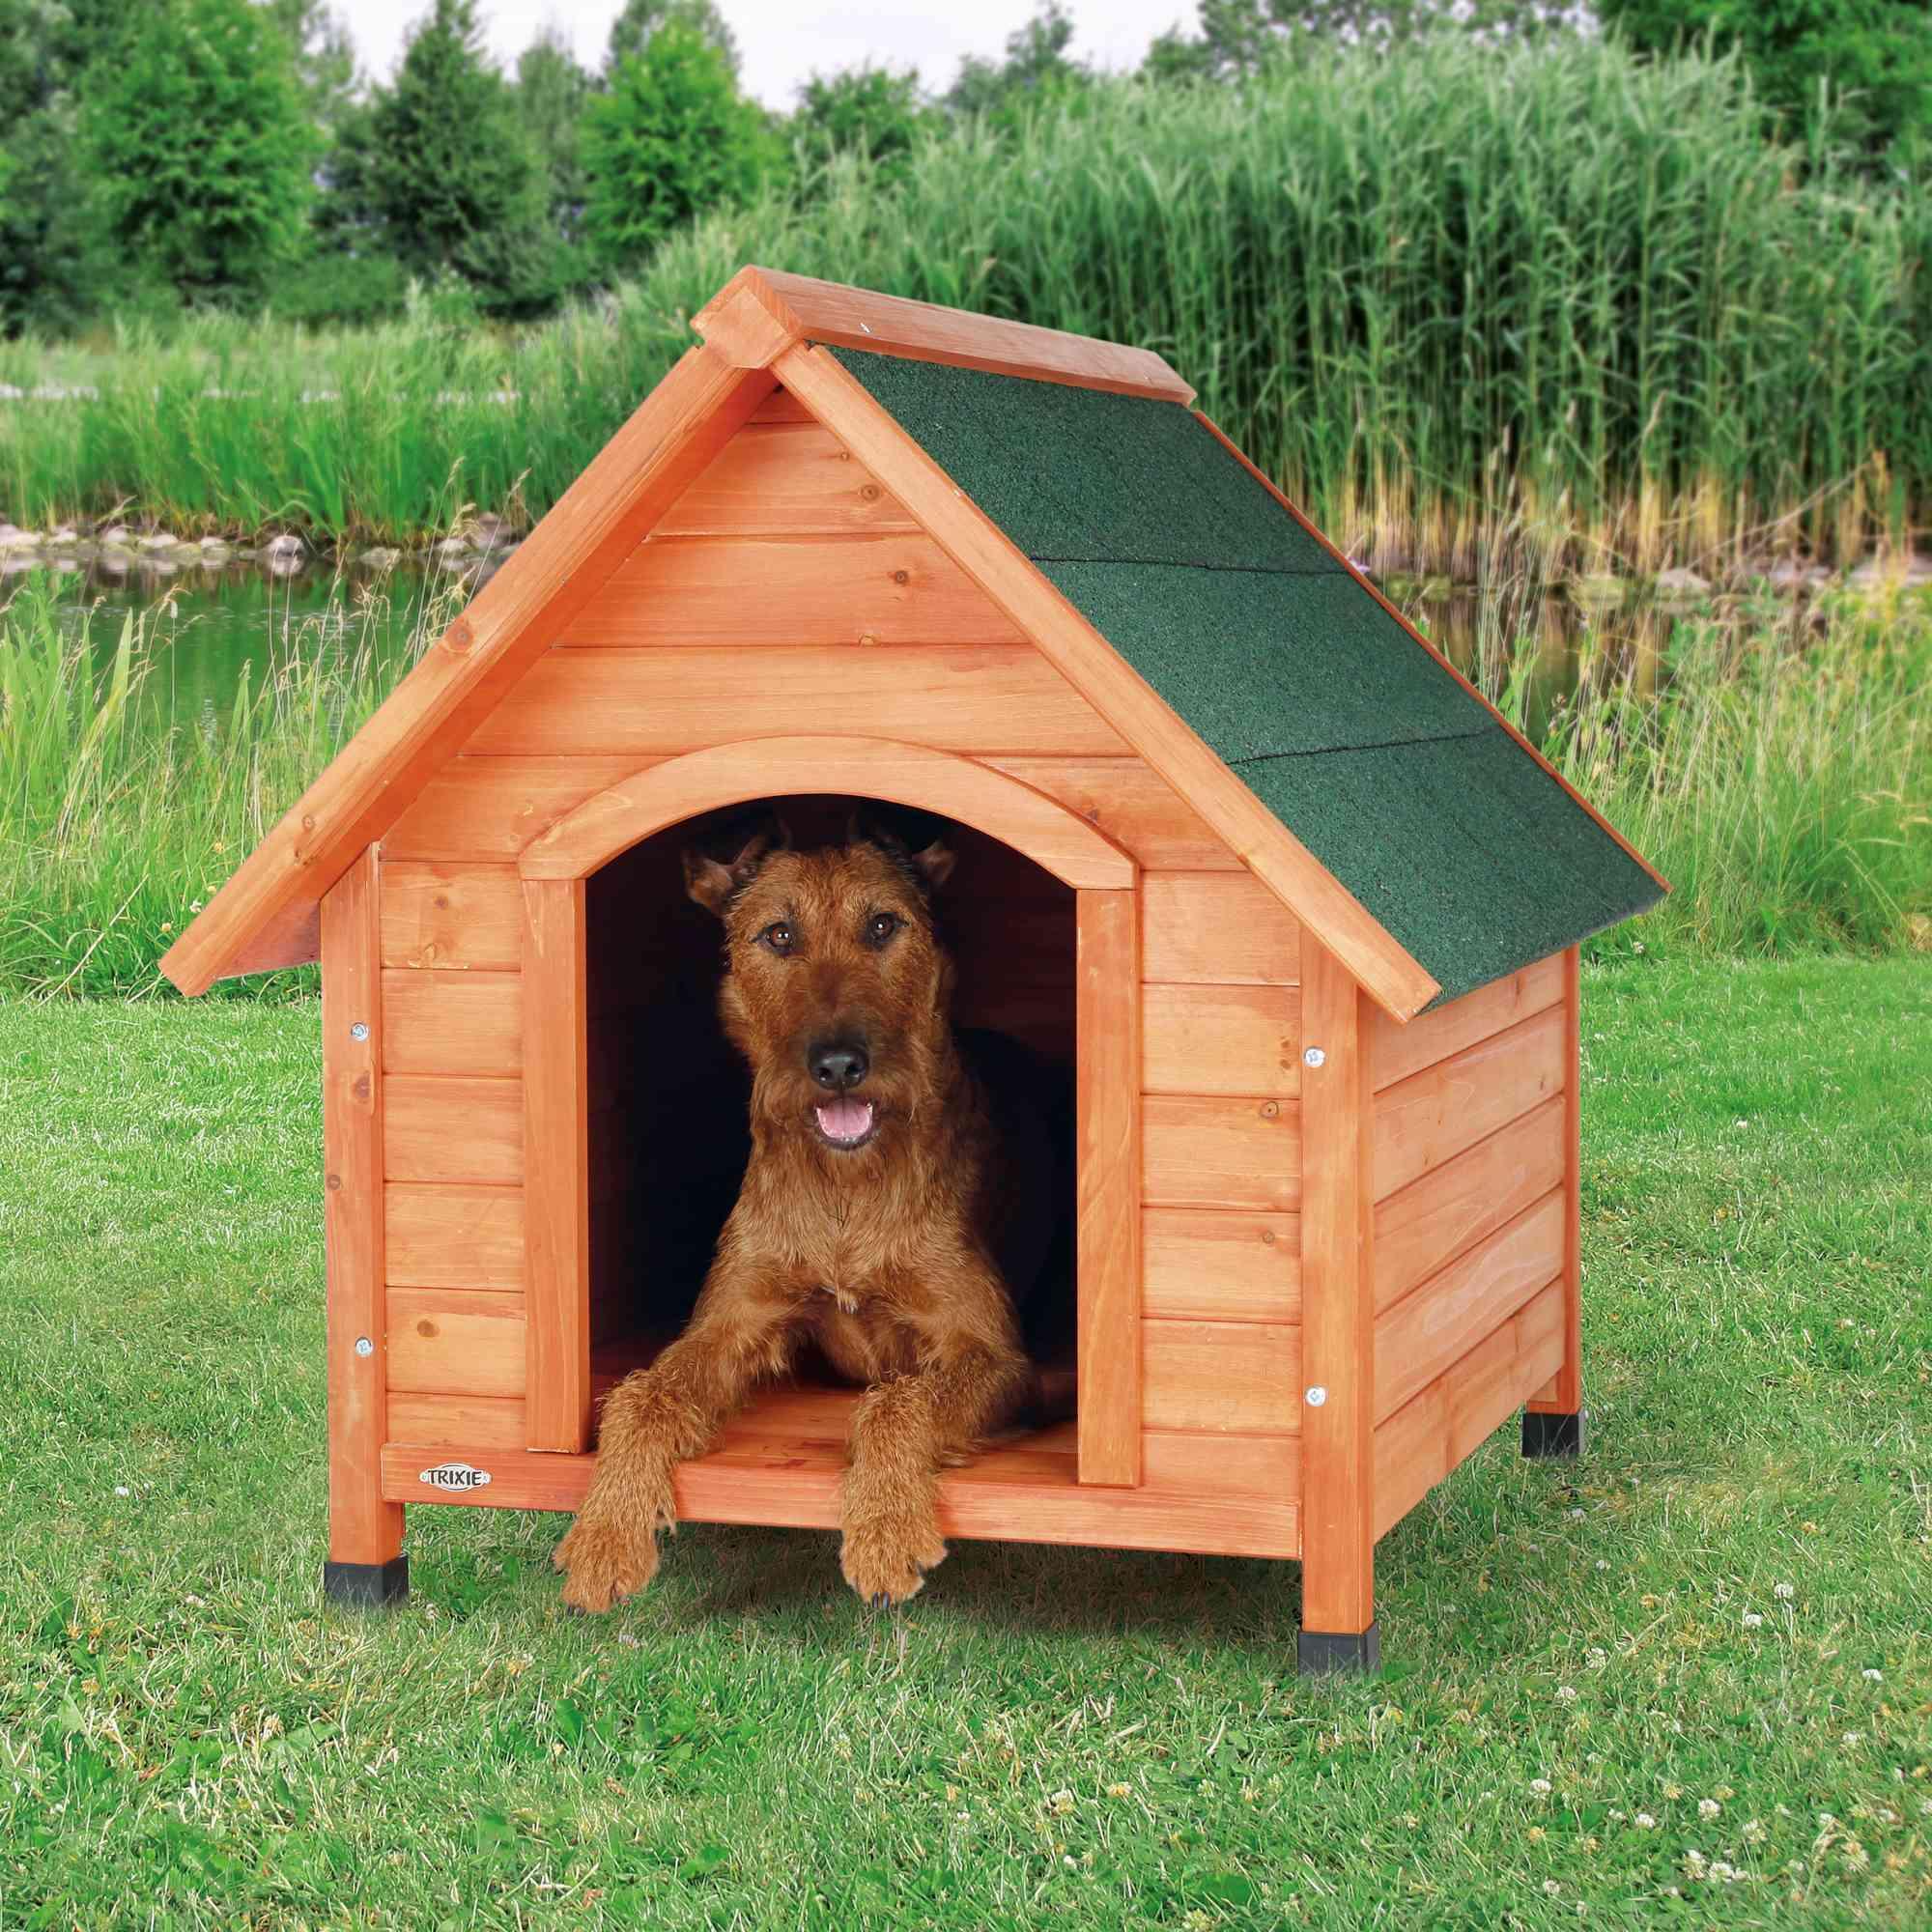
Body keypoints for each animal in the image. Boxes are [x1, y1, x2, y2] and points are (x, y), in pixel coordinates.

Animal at [560, 808, 1066, 1607]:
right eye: (778, 935)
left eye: (884, 925)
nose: (837, 1066)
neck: (845, 1195)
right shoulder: (727, 1324)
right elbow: (639, 1396)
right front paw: (604, 1534)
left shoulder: (991, 1355)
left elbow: (895, 1401)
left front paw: (884, 1533)